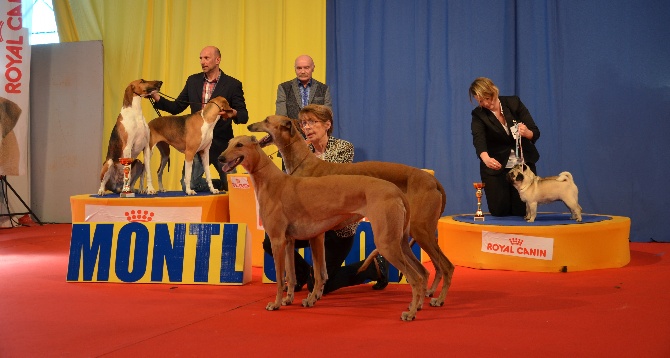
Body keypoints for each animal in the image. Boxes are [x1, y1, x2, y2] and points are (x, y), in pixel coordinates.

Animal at [220, 136, 430, 320]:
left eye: (239, 144)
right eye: (229, 143)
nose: (220, 157)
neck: (272, 181)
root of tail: (395, 191)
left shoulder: (277, 240)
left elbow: (280, 278)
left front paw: (276, 304)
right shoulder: (288, 241)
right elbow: (291, 275)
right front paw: (289, 299)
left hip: (387, 243)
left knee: (415, 278)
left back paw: (410, 313)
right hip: (400, 242)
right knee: (422, 272)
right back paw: (417, 305)